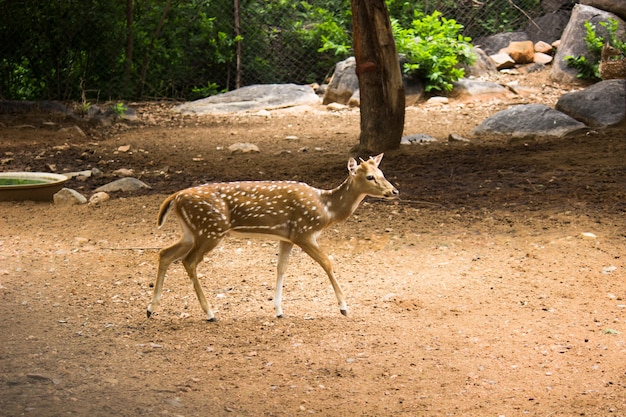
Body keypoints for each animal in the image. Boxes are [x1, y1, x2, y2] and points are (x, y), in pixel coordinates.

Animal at [147, 154, 394, 320]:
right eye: (370, 176)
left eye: (383, 174)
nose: (394, 191)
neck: (327, 209)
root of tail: (176, 196)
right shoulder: (304, 232)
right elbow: (327, 262)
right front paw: (344, 307)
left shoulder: (286, 237)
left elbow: (281, 268)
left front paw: (278, 310)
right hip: (211, 230)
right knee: (188, 261)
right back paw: (209, 312)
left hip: (192, 231)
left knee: (165, 253)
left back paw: (151, 309)